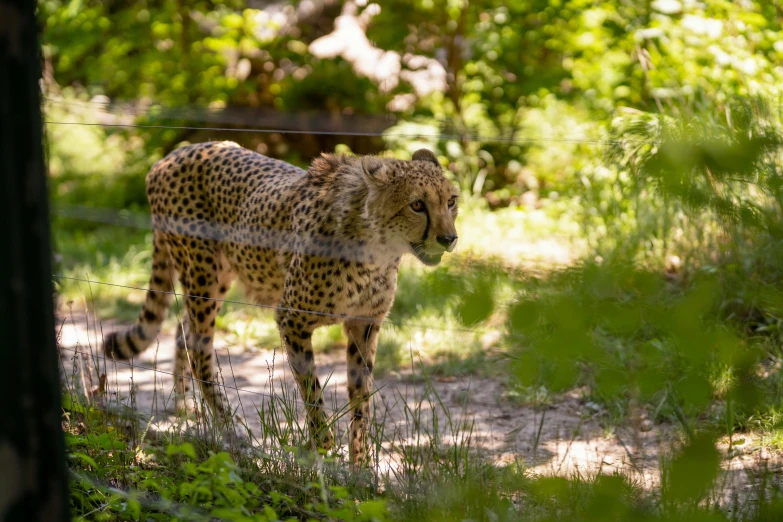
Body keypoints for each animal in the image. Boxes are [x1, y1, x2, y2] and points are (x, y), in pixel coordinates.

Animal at [103, 140, 460, 462]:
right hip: (202, 274)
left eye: (451, 201)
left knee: (182, 331)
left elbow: (362, 401)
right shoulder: (292, 319)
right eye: (417, 205)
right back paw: (232, 430)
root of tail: (176, 152)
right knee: (199, 349)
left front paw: (361, 469)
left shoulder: (364, 324)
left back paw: (186, 408)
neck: (376, 247)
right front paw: (324, 455)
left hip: (216, 276)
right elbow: (312, 392)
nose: (449, 238)